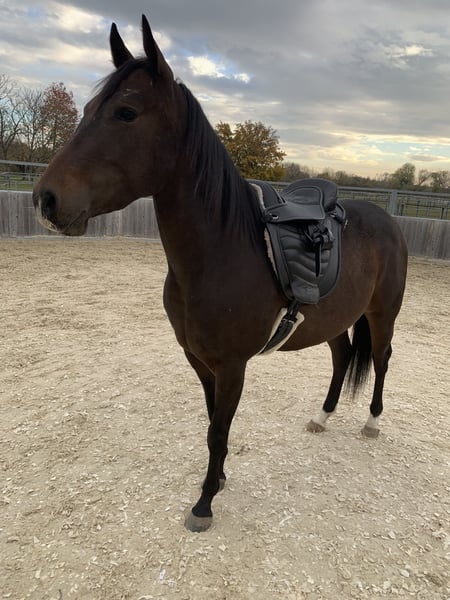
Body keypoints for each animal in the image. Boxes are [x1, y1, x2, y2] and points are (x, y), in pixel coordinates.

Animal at [33, 16, 408, 532]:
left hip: (382, 313)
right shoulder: (199, 360)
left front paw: (204, 503)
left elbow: (217, 430)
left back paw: (372, 422)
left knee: (383, 358)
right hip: (334, 319)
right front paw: (220, 480)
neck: (218, 254)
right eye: (88, 108)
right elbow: (213, 421)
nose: (45, 200)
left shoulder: (232, 366)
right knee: (341, 357)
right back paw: (323, 416)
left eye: (126, 113)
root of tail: (388, 220)